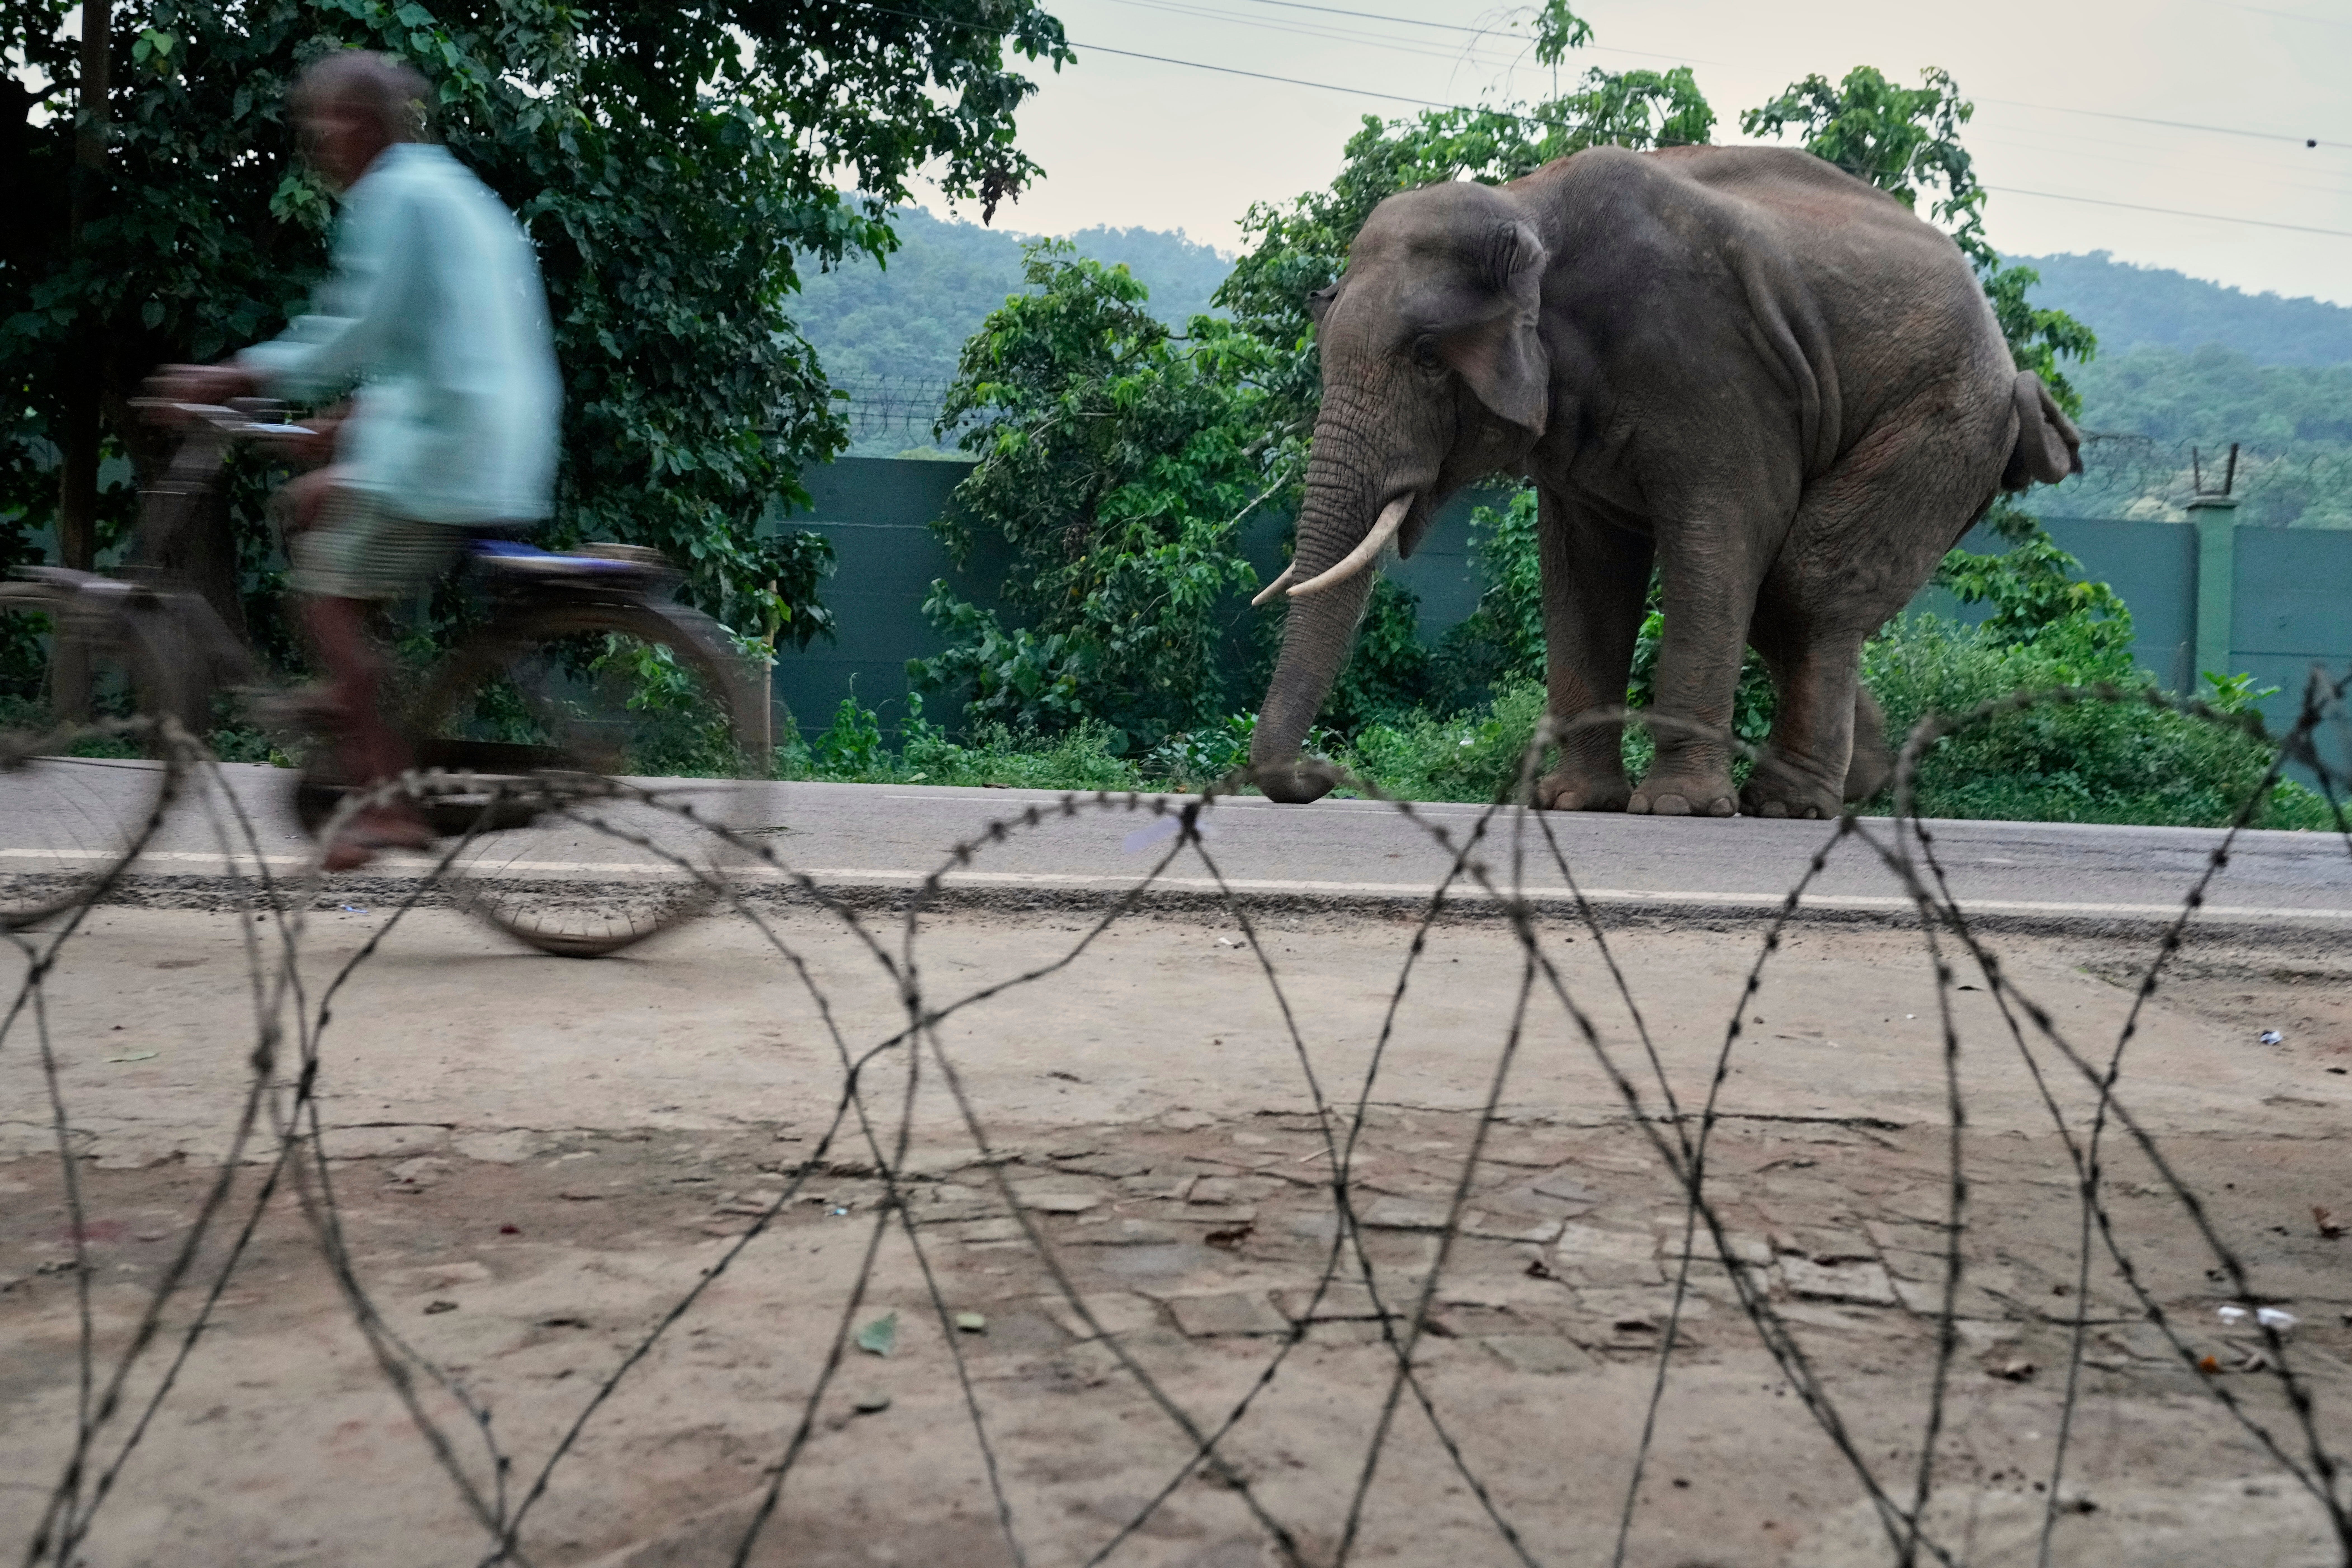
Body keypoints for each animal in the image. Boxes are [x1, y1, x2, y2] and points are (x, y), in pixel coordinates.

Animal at [1247, 144, 2082, 817]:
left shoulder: (1714, 365)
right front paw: (1572, 803)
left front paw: (1676, 808)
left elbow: (1722, 534)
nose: (1324, 770)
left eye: (1426, 358)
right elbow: (1586, 574)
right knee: (1783, 601)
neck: (1528, 204)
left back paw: (1789, 805)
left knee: (1804, 583)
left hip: (1943, 421)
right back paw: (1855, 783)